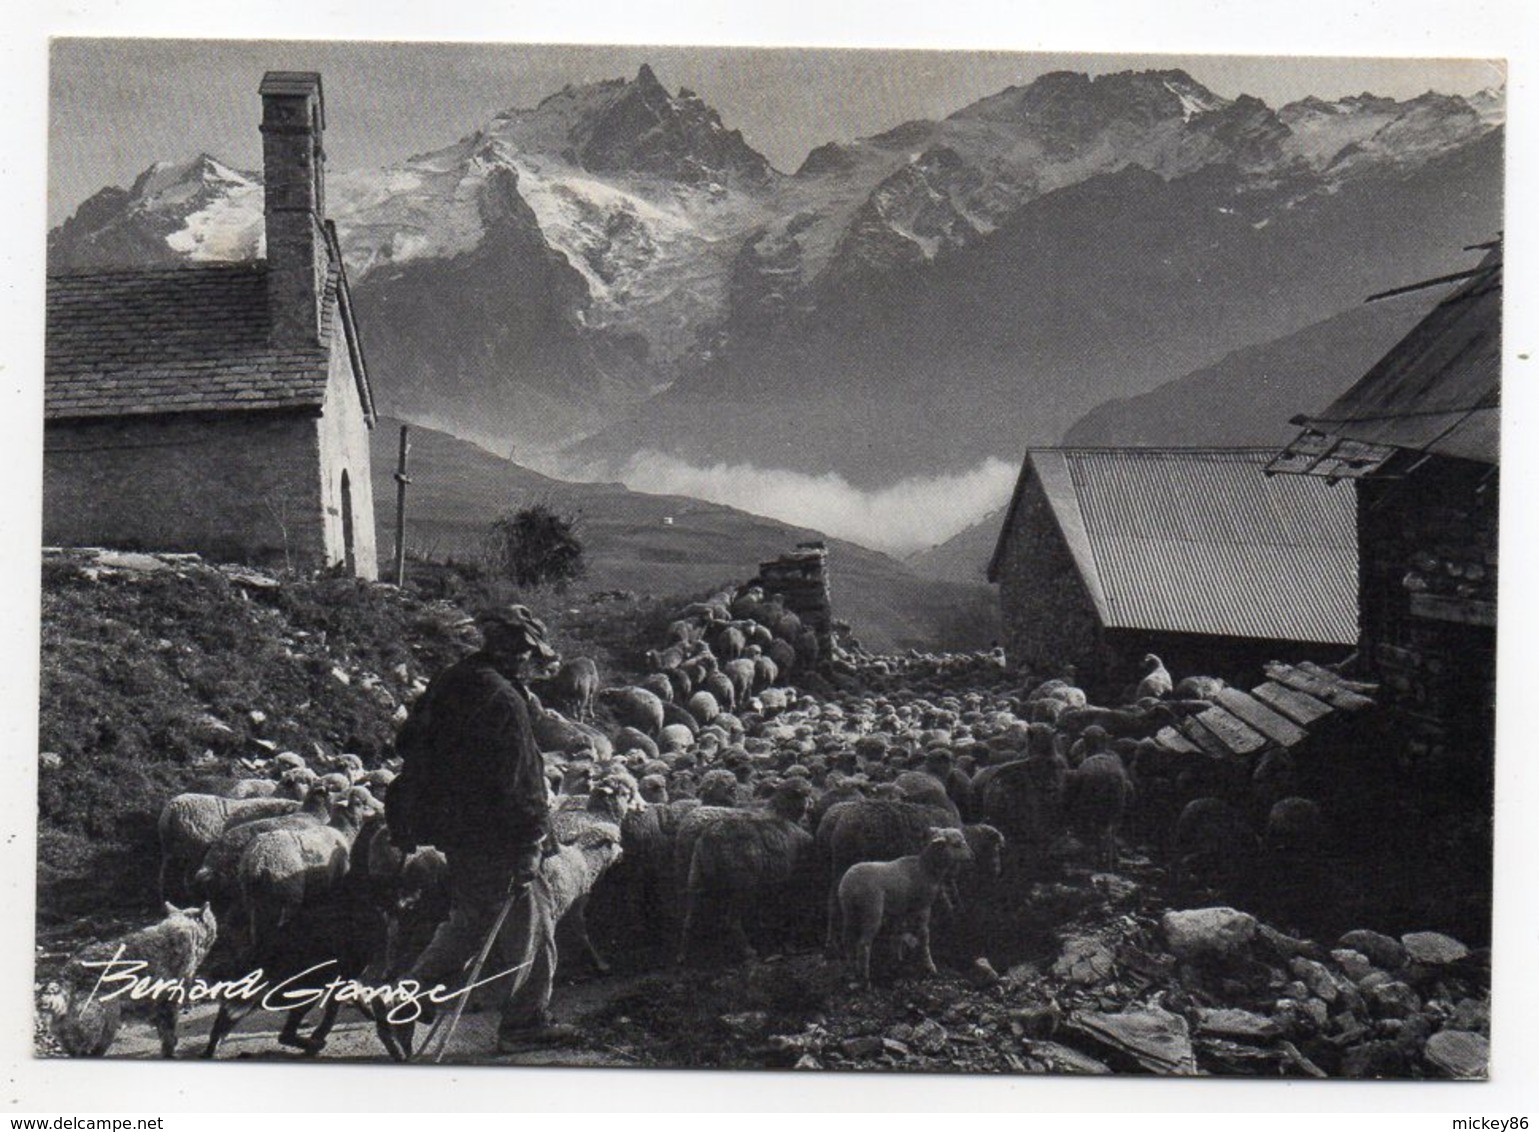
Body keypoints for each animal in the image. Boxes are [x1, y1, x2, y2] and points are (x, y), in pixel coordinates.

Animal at [677, 778, 818, 965]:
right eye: (806, 793)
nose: (813, 803)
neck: (782, 812)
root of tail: (708, 840)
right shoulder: (787, 877)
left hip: (697, 877)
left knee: (689, 918)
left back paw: (683, 955)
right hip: (742, 884)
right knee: (731, 920)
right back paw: (748, 952)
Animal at [843, 824, 972, 984]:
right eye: (957, 844)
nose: (972, 855)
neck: (925, 869)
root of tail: (851, 884)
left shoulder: (901, 909)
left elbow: (898, 933)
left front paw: (897, 960)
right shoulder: (923, 907)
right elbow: (924, 935)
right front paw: (929, 966)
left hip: (849, 910)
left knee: (848, 938)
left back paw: (850, 969)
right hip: (872, 909)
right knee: (864, 944)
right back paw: (865, 977)